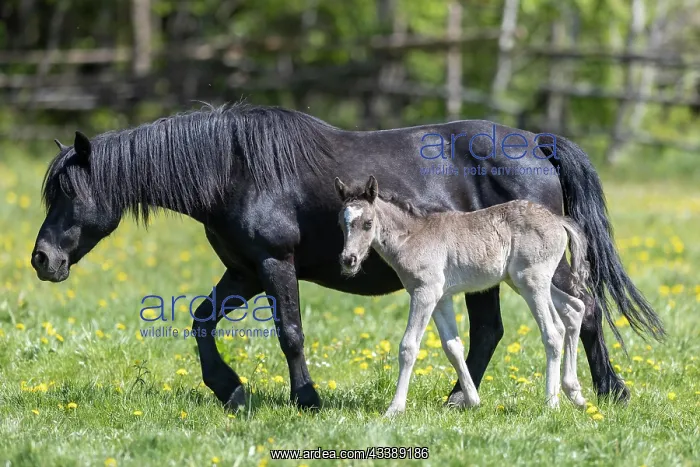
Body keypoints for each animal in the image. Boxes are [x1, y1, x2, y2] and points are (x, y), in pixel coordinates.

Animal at [335, 175, 590, 415]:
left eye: (368, 223)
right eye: (341, 223)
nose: (348, 260)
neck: (412, 236)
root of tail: (558, 220)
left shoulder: (424, 292)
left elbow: (409, 346)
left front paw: (395, 408)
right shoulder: (441, 298)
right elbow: (453, 346)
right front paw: (473, 400)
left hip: (532, 282)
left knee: (553, 331)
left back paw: (552, 402)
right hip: (522, 281)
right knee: (574, 308)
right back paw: (575, 394)